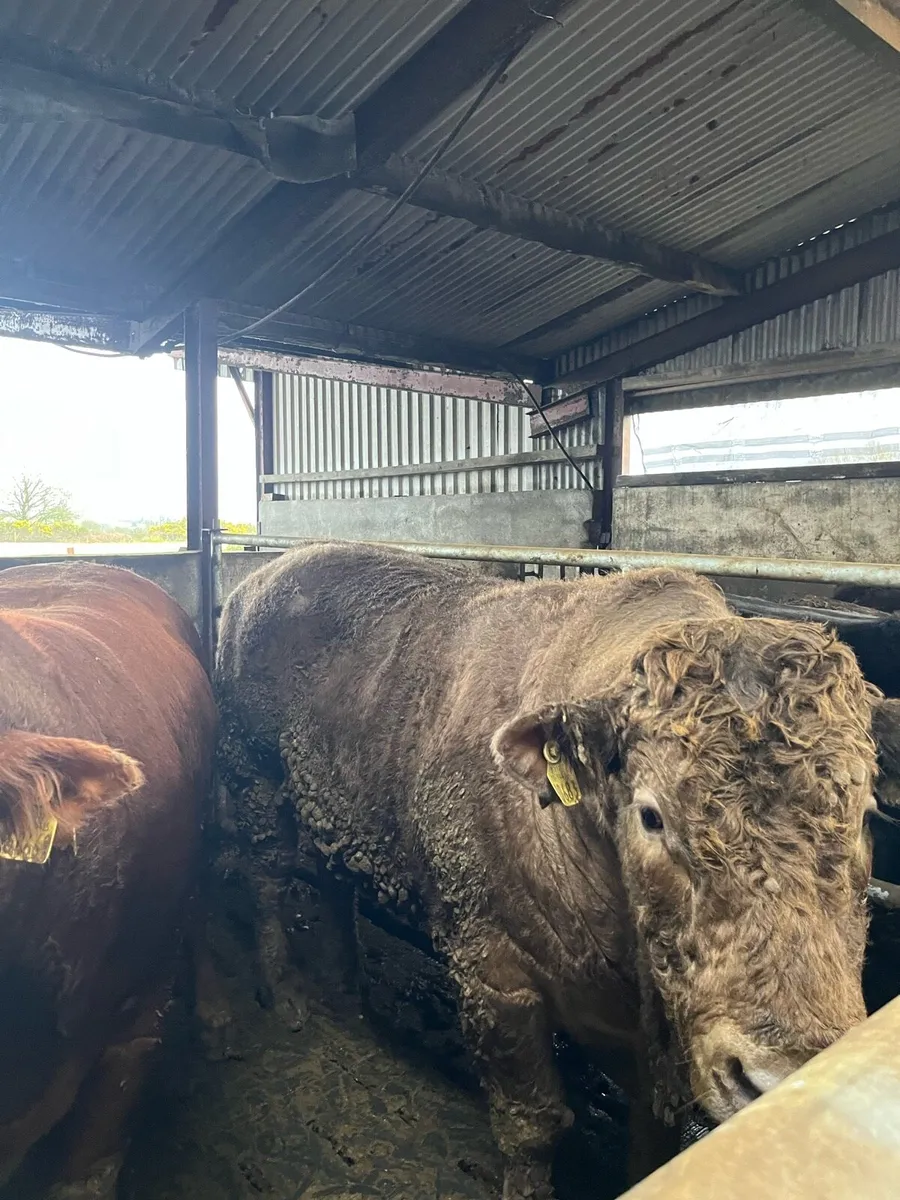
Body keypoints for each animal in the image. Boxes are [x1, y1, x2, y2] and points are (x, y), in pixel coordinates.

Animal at [215, 544, 881, 1200]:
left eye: (867, 810)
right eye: (651, 815)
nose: (779, 1076)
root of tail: (261, 578)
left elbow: (652, 1141)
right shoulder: (495, 978)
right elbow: (531, 1124)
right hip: (254, 779)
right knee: (264, 877)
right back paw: (287, 993)